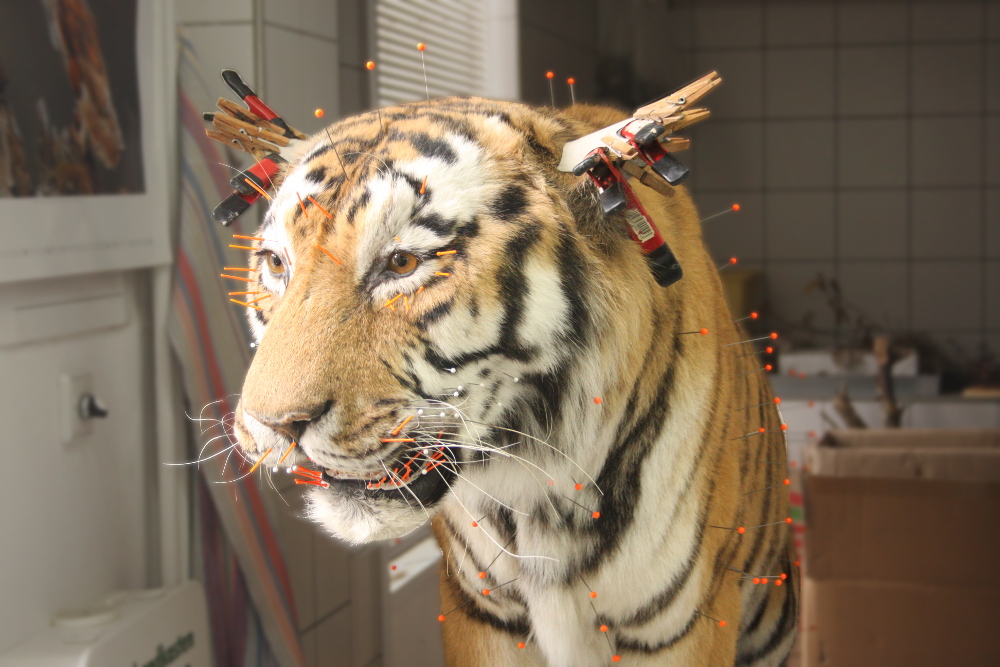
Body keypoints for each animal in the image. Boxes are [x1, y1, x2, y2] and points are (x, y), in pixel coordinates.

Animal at [226, 96, 798, 666]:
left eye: (402, 262)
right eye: (275, 263)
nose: (274, 425)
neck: (535, 490)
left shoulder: (679, 628)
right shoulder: (482, 613)